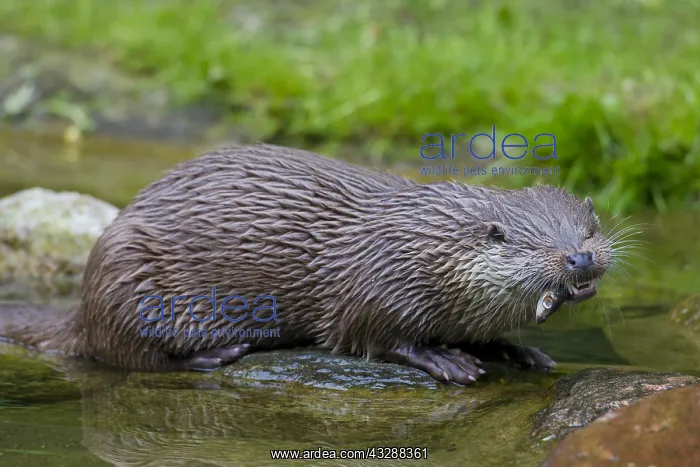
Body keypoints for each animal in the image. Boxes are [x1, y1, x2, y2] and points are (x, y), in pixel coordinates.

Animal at [0, 144, 615, 384]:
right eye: (536, 244)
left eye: (588, 228)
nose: (580, 257)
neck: (424, 248)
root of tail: (82, 302)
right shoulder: (378, 286)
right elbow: (375, 336)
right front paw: (446, 359)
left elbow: (493, 338)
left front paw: (520, 352)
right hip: (131, 280)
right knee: (130, 355)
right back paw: (215, 354)